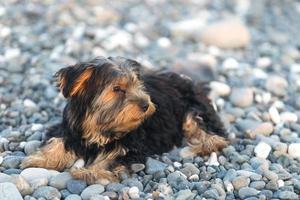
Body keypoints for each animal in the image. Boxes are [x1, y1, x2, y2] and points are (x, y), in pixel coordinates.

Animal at [21, 56, 227, 184]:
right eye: (117, 89)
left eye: (137, 85)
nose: (146, 104)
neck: (100, 124)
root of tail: (194, 83)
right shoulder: (70, 128)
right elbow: (58, 141)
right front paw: (40, 158)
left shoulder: (131, 145)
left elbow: (112, 158)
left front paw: (90, 171)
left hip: (193, 108)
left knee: (213, 134)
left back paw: (197, 146)